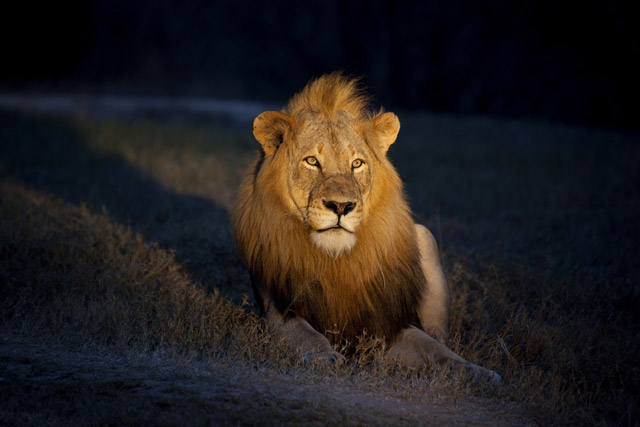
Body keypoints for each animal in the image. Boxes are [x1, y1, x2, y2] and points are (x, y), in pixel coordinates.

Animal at [232, 73, 500, 383]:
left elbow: (437, 351)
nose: (340, 206)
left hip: (425, 236)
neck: (336, 261)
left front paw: (479, 372)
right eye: (311, 161)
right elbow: (308, 337)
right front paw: (325, 358)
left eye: (357, 163)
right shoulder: (279, 312)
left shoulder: (387, 323)